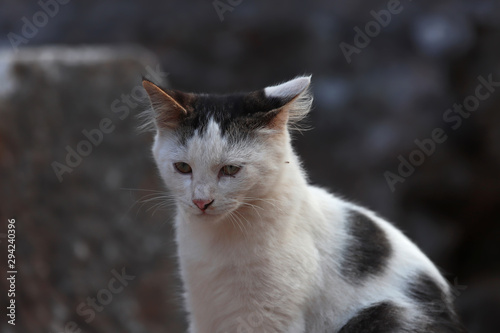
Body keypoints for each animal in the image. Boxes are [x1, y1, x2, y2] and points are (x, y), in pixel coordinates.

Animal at [141, 76, 464, 332]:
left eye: (230, 170)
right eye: (183, 168)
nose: (201, 201)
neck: (220, 239)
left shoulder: (269, 318)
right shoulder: (203, 311)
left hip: (388, 316)